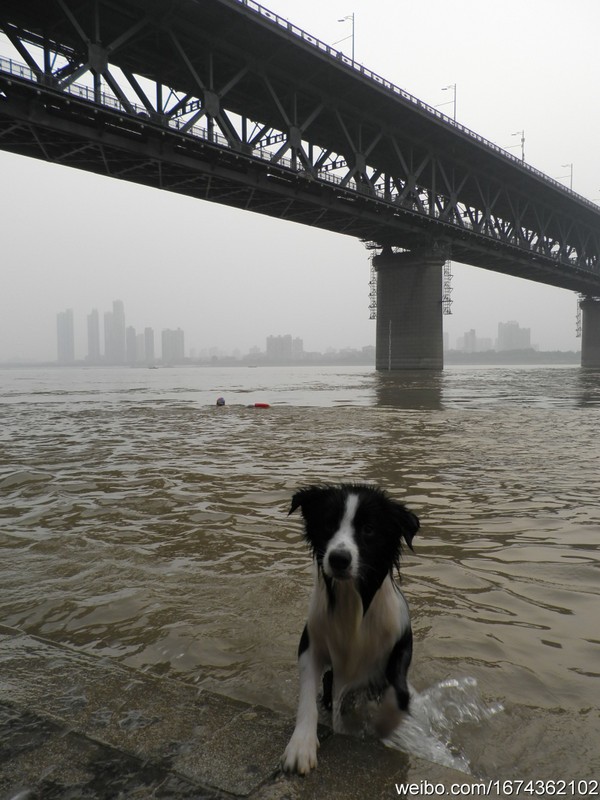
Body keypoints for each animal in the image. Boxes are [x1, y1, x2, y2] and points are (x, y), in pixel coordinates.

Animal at [280, 484, 418, 772]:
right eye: (329, 524)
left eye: (369, 529)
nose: (339, 559)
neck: (351, 600)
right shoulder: (311, 643)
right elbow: (307, 695)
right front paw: (301, 745)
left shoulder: (401, 643)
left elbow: (400, 692)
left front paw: (386, 723)